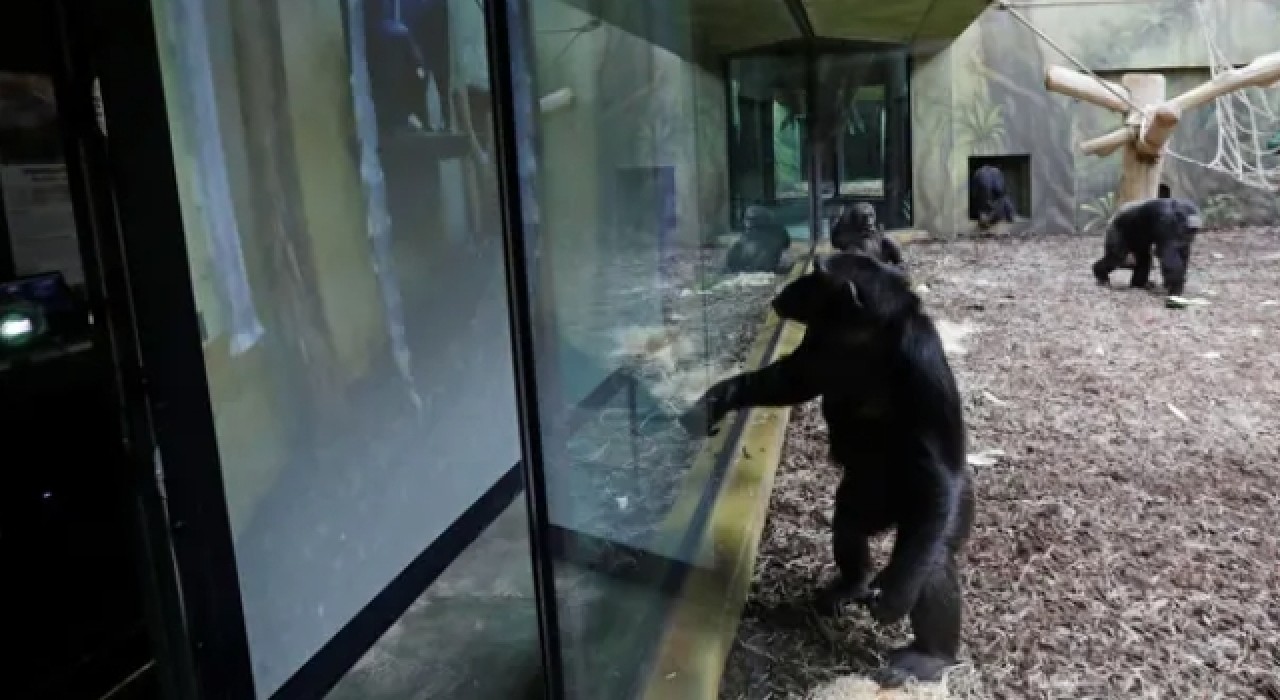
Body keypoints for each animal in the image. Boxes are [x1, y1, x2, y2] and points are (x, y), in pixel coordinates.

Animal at [686, 250, 972, 685]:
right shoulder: (818, 343)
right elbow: (787, 380)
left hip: (941, 509)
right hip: (869, 493)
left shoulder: (923, 365)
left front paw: (897, 596)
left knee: (933, 555)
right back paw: (851, 585)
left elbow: (940, 464)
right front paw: (718, 398)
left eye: (817, 276)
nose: (790, 288)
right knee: (849, 520)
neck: (863, 337)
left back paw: (931, 655)